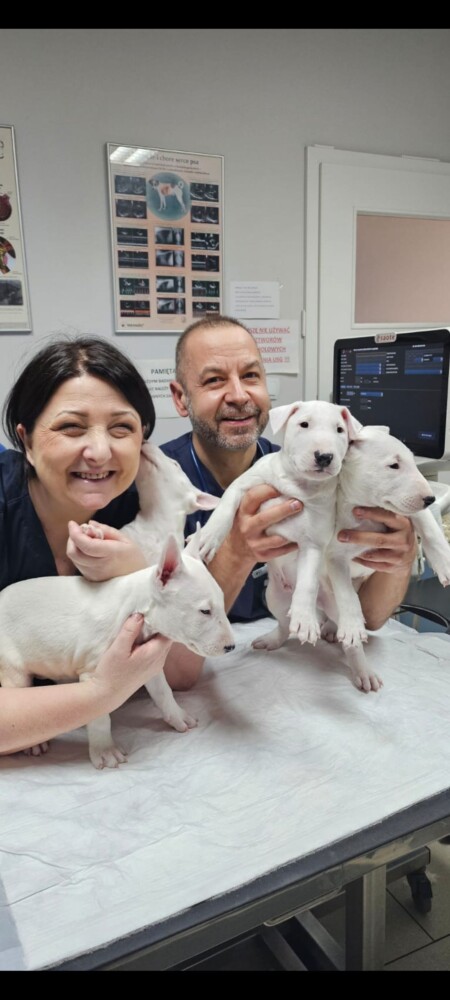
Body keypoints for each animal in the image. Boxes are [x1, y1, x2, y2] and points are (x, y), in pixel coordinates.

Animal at [0, 531, 235, 769]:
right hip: (12, 666)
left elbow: (163, 692)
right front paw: (105, 751)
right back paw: (34, 744)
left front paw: (178, 716)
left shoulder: (148, 665)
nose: (231, 647)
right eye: (205, 611)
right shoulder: (94, 672)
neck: (136, 606)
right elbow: (100, 711)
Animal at [197, 400, 361, 646]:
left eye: (340, 430)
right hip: (274, 597)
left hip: (330, 601)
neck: (297, 484)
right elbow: (224, 508)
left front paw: (305, 621)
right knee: (283, 625)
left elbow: (307, 582)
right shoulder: (244, 484)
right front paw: (208, 537)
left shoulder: (313, 544)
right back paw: (270, 641)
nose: (324, 456)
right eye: (304, 424)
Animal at [318, 424, 450, 692]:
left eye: (412, 460)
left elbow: (428, 526)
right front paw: (352, 626)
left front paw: (445, 565)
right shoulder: (334, 556)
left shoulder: (404, 512)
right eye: (394, 465)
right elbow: (346, 595)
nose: (430, 499)